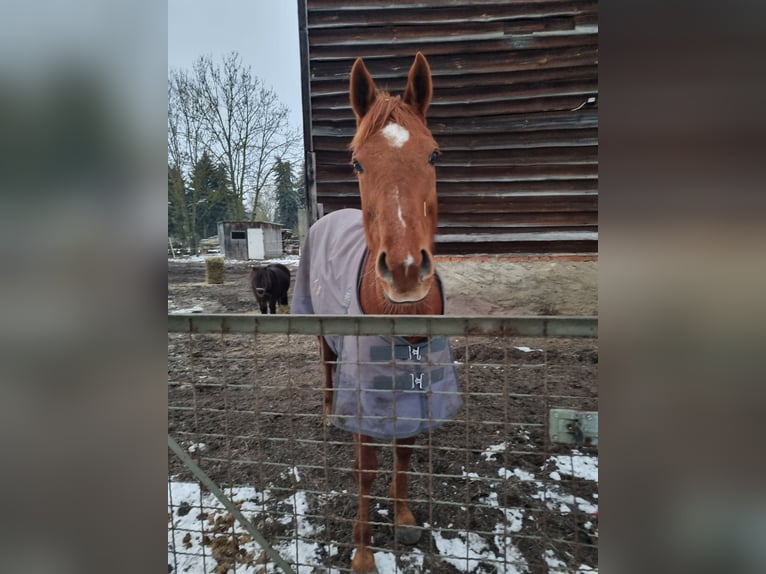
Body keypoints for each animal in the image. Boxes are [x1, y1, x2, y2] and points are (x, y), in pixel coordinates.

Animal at [292, 54, 462, 574]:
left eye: (433, 155)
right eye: (357, 162)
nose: (405, 270)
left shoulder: (417, 386)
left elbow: (404, 452)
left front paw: (404, 516)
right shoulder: (364, 396)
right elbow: (365, 471)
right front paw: (364, 552)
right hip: (322, 335)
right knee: (326, 366)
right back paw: (329, 413)